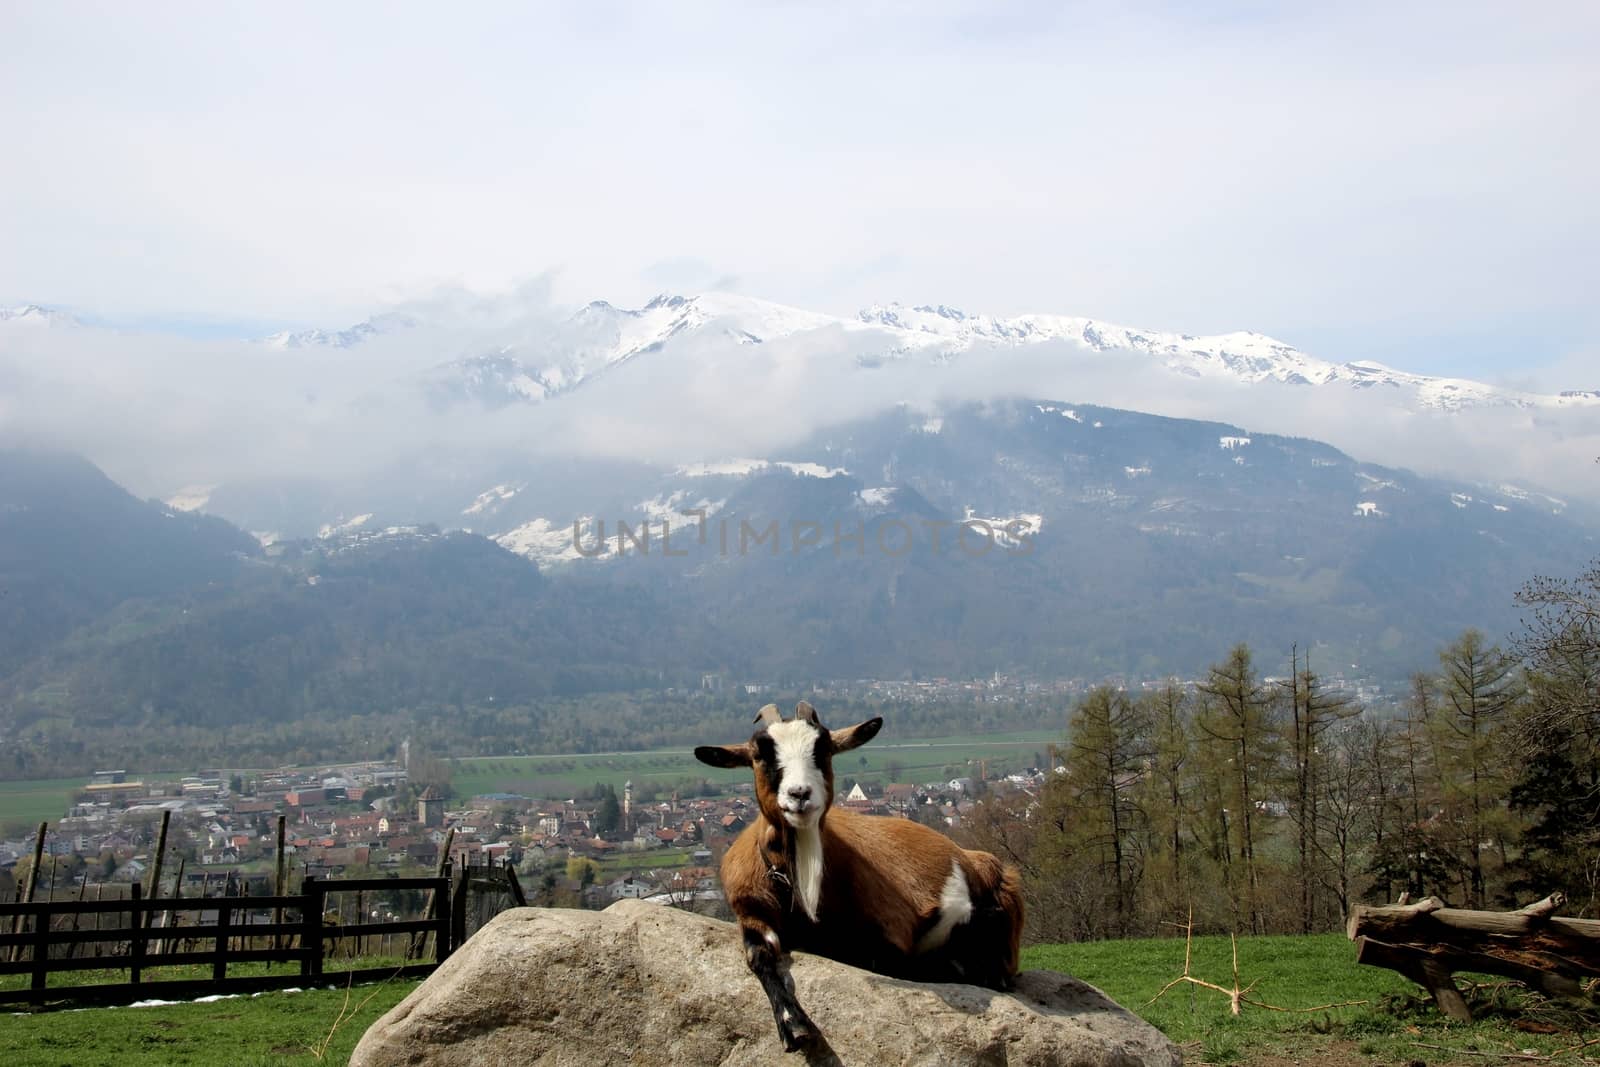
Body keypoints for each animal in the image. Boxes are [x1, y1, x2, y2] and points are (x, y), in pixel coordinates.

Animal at [691, 700, 1017, 1049]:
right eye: (760, 754)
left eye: (823, 749)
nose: (799, 794)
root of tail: (974, 858)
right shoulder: (750, 910)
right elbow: (757, 955)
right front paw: (794, 1024)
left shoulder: (888, 931)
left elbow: (876, 958)